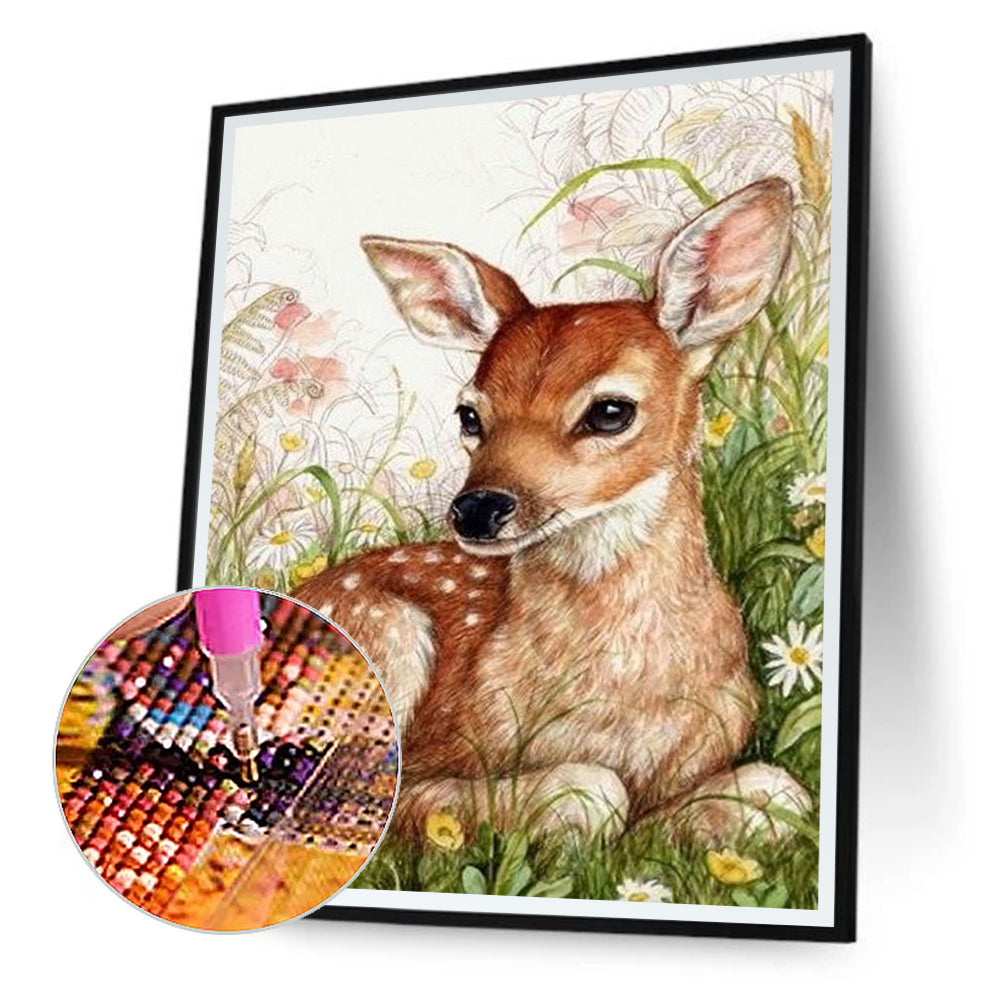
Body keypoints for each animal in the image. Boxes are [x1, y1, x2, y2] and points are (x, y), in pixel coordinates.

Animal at [296, 177, 812, 848]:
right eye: (470, 415)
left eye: (611, 411)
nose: (477, 508)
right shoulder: (424, 759)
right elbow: (592, 792)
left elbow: (782, 790)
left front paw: (692, 820)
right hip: (379, 634)